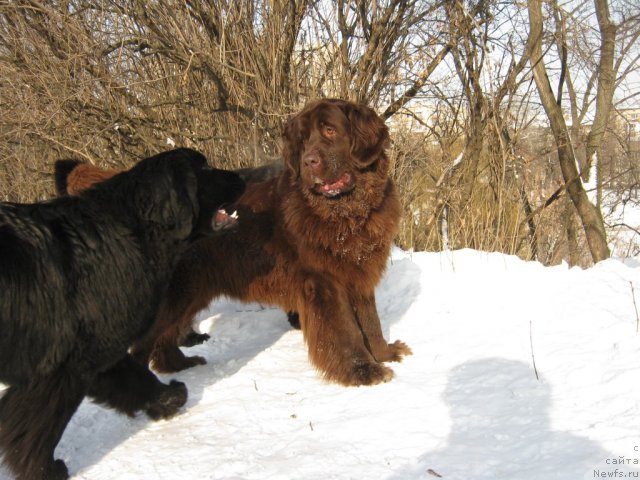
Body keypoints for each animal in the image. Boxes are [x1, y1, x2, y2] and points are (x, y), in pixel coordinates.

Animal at [0, 148, 245, 478]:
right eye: (203, 168)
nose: (242, 175)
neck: (129, 232)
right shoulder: (60, 368)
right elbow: (36, 430)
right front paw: (44, 470)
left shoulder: (98, 344)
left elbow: (135, 378)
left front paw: (168, 398)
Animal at [60, 99, 412, 384]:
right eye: (302, 141)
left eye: (329, 131)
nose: (309, 161)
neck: (345, 215)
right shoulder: (324, 282)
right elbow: (345, 330)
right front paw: (363, 371)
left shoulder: (359, 274)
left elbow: (370, 321)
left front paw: (384, 353)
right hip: (177, 292)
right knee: (144, 342)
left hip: (190, 290)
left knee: (166, 335)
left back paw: (179, 364)